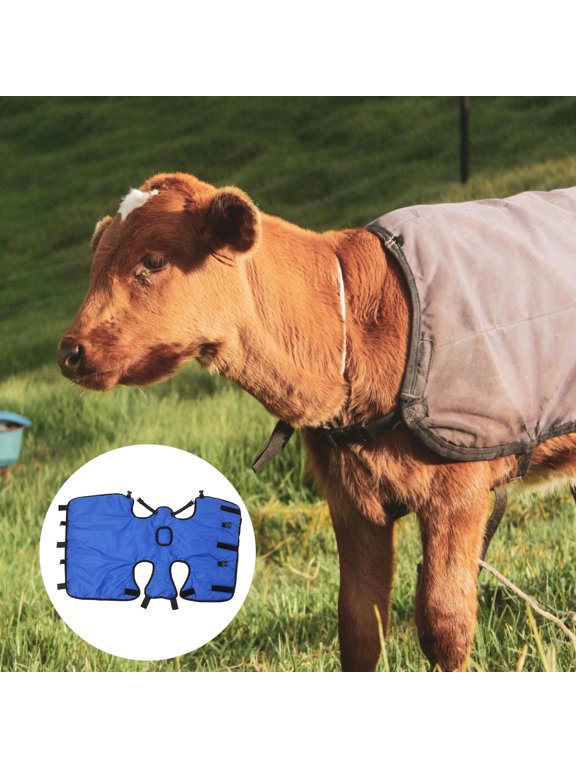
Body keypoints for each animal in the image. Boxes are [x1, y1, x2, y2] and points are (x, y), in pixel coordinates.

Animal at [58, 172, 576, 671]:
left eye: (154, 261)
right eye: (95, 266)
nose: (69, 351)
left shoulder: (458, 490)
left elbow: (443, 621)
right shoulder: (351, 497)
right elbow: (360, 624)